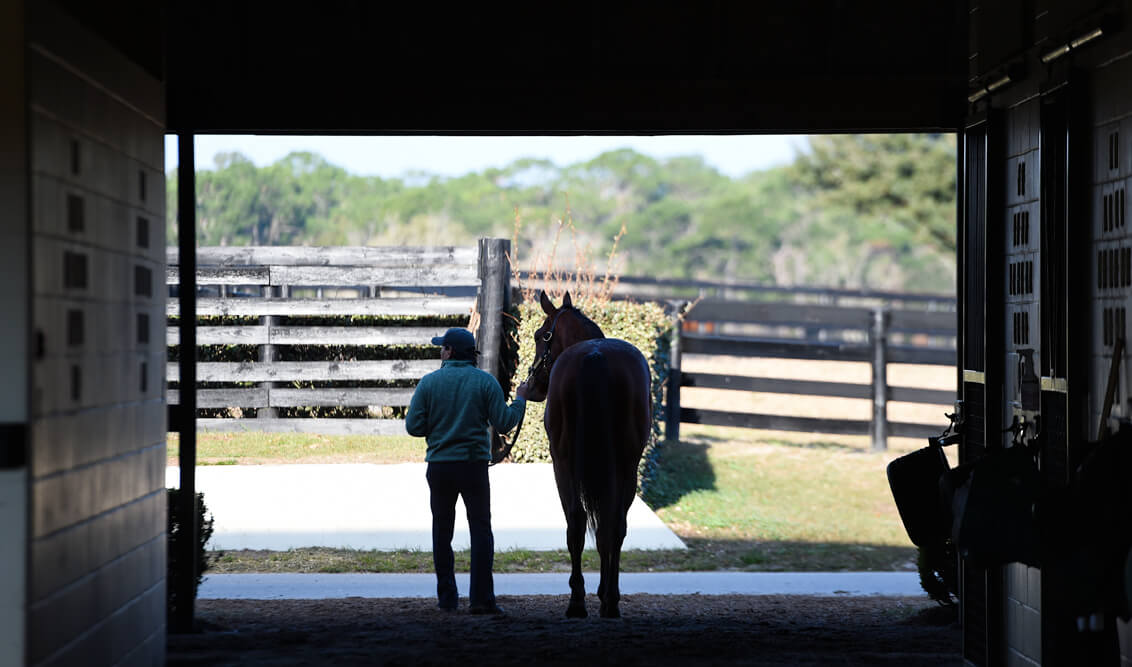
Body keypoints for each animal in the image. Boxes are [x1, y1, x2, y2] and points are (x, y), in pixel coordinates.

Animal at [525, 292, 652, 620]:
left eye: (539, 335)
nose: (531, 386)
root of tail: (596, 357)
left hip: (566, 465)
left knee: (578, 523)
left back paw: (581, 601)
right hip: (624, 467)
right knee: (612, 524)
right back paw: (607, 601)